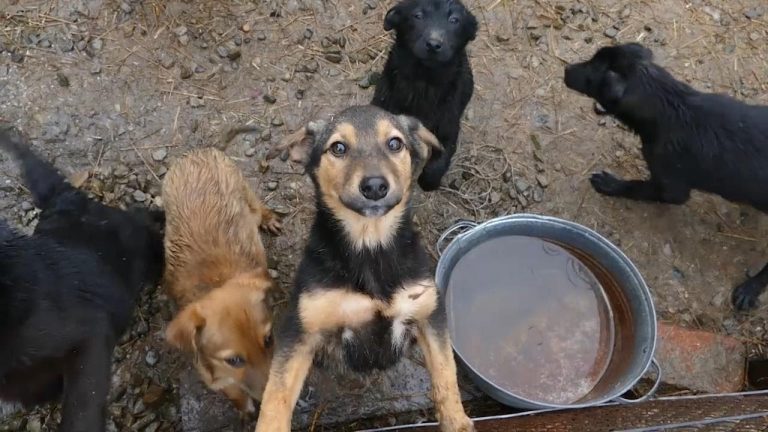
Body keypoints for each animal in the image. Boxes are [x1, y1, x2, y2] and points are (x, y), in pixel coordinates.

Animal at [164, 148, 280, 412]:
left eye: (269, 339)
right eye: (234, 360)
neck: (216, 282)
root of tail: (197, 152)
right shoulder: (215, 377)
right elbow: (235, 394)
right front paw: (245, 409)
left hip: (244, 192)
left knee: (257, 207)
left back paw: (268, 218)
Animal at [256, 104, 474, 432]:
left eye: (395, 143)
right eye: (338, 148)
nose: (374, 186)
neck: (370, 246)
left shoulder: (429, 313)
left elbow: (446, 374)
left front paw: (457, 422)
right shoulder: (301, 329)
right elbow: (276, 397)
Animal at [370, 0, 476, 191]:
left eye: (454, 20)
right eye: (417, 15)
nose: (433, 44)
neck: (423, 81)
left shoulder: (448, 127)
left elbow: (439, 161)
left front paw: (428, 181)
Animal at [560, 43, 768, 310]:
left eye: (592, 73)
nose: (566, 69)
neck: (668, 105)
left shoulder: (671, 186)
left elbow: (638, 187)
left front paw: (611, 184)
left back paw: (749, 289)